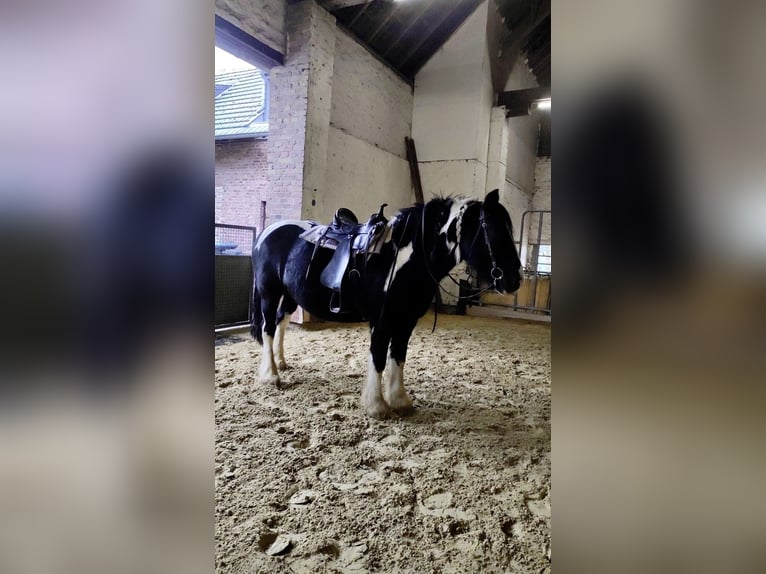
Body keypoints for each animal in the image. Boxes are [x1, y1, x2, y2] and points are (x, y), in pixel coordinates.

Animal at [250, 191, 520, 420]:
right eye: (493, 231)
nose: (514, 280)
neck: (404, 257)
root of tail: (267, 231)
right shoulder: (382, 320)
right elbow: (379, 357)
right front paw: (377, 405)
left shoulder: (406, 320)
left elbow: (398, 356)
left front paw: (400, 401)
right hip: (269, 292)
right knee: (268, 328)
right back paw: (271, 375)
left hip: (290, 295)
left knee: (281, 321)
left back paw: (281, 362)